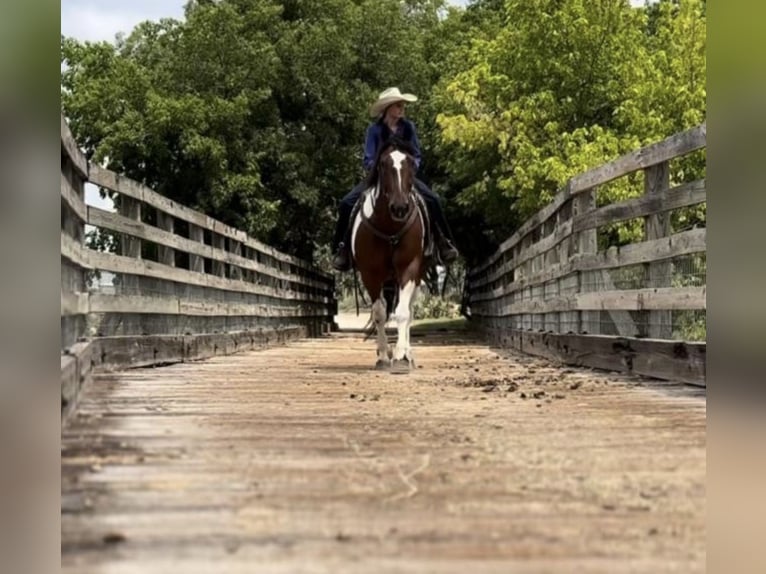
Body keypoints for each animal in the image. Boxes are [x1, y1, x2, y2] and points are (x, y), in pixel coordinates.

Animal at [352, 137, 428, 376]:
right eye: (383, 165)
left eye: (411, 163)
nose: (400, 207)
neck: (390, 228)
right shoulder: (370, 273)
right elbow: (379, 314)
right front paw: (384, 357)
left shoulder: (409, 269)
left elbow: (402, 313)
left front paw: (401, 358)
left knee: (409, 312)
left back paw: (408, 354)